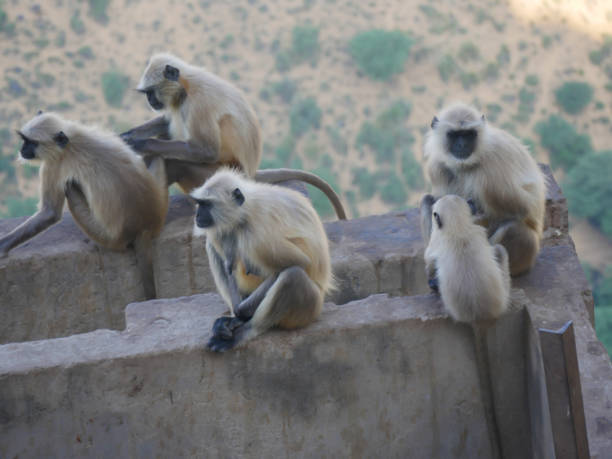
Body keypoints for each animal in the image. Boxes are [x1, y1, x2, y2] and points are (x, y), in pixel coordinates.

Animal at [0, 111, 167, 298]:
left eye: (32, 143)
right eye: (24, 140)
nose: (23, 149)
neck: (70, 142)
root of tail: (143, 226)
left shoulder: (53, 164)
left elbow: (49, 213)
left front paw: (1, 247)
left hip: (108, 238)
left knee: (71, 185)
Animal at [120, 53, 344, 220]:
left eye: (151, 91)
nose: (150, 100)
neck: (185, 86)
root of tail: (249, 174)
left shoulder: (199, 102)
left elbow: (206, 151)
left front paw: (142, 143)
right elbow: (166, 123)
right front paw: (126, 136)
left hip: (215, 177)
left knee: (176, 161)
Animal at [192, 169, 332, 352]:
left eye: (206, 204)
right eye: (199, 203)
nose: (197, 215)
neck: (245, 211)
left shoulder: (257, 237)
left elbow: (301, 263)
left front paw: (241, 314)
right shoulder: (226, 228)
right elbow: (228, 264)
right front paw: (235, 317)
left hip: (310, 309)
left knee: (293, 275)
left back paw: (244, 331)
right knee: (212, 246)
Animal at [420, 103, 544, 276]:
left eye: (469, 134)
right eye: (454, 135)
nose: (462, 145)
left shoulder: (492, 168)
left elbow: (522, 210)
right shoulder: (437, 167)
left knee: (512, 227)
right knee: (427, 201)